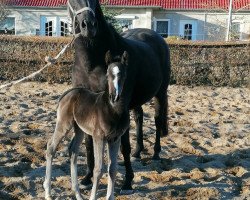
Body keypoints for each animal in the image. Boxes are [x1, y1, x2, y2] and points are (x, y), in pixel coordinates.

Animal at [44, 50, 130, 199]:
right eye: (107, 74)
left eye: (124, 75)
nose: (114, 97)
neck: (113, 110)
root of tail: (67, 94)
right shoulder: (98, 137)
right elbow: (98, 169)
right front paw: (93, 196)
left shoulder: (115, 138)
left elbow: (112, 169)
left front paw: (110, 196)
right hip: (64, 124)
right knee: (51, 147)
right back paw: (48, 193)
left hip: (79, 129)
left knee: (73, 150)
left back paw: (78, 194)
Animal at [67, 0, 171, 191]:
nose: (89, 25)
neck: (92, 64)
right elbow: (89, 145)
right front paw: (87, 178)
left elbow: (124, 146)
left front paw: (128, 181)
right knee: (139, 117)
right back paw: (138, 152)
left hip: (160, 93)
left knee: (158, 120)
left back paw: (156, 154)